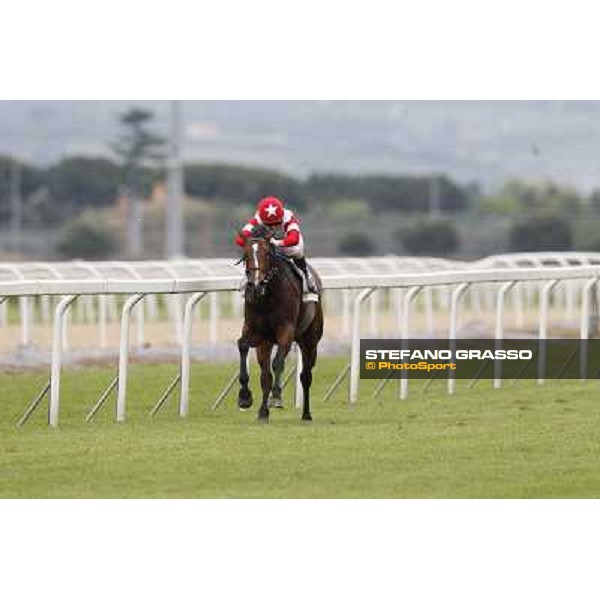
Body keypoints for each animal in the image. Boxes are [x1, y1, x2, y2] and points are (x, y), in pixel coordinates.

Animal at [238, 227, 324, 424]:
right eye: (246, 254)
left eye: (267, 254)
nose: (256, 283)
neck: (267, 296)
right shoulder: (254, 331)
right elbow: (243, 345)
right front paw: (245, 396)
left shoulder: (286, 330)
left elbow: (278, 362)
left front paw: (276, 397)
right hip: (266, 343)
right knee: (265, 376)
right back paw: (263, 412)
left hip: (310, 341)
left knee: (306, 376)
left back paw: (306, 414)